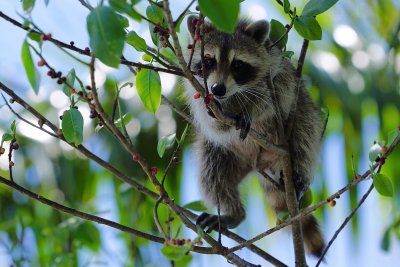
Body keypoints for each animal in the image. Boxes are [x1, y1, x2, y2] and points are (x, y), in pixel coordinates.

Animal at [184, 15, 324, 258]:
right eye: (209, 61)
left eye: (238, 65)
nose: (218, 89)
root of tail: (260, 162)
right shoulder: (197, 88)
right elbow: (213, 125)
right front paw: (218, 114)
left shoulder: (277, 69)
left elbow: (275, 96)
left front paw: (250, 111)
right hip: (227, 153)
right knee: (212, 172)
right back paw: (233, 213)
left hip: (303, 114)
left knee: (305, 132)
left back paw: (300, 171)